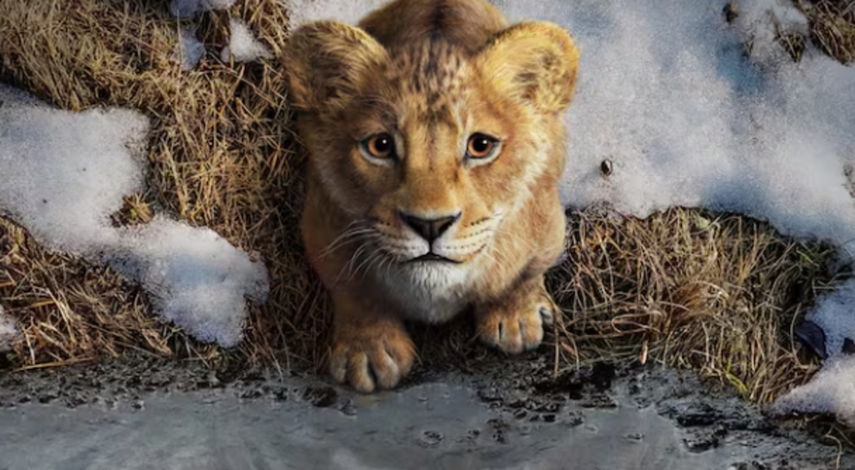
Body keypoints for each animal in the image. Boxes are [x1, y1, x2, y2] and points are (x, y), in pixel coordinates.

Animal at [283, 0, 579, 393]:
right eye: (380, 146)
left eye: (481, 145)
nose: (430, 225)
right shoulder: (322, 225)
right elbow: (353, 290)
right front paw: (370, 351)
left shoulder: (546, 223)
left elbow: (525, 273)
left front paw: (516, 318)